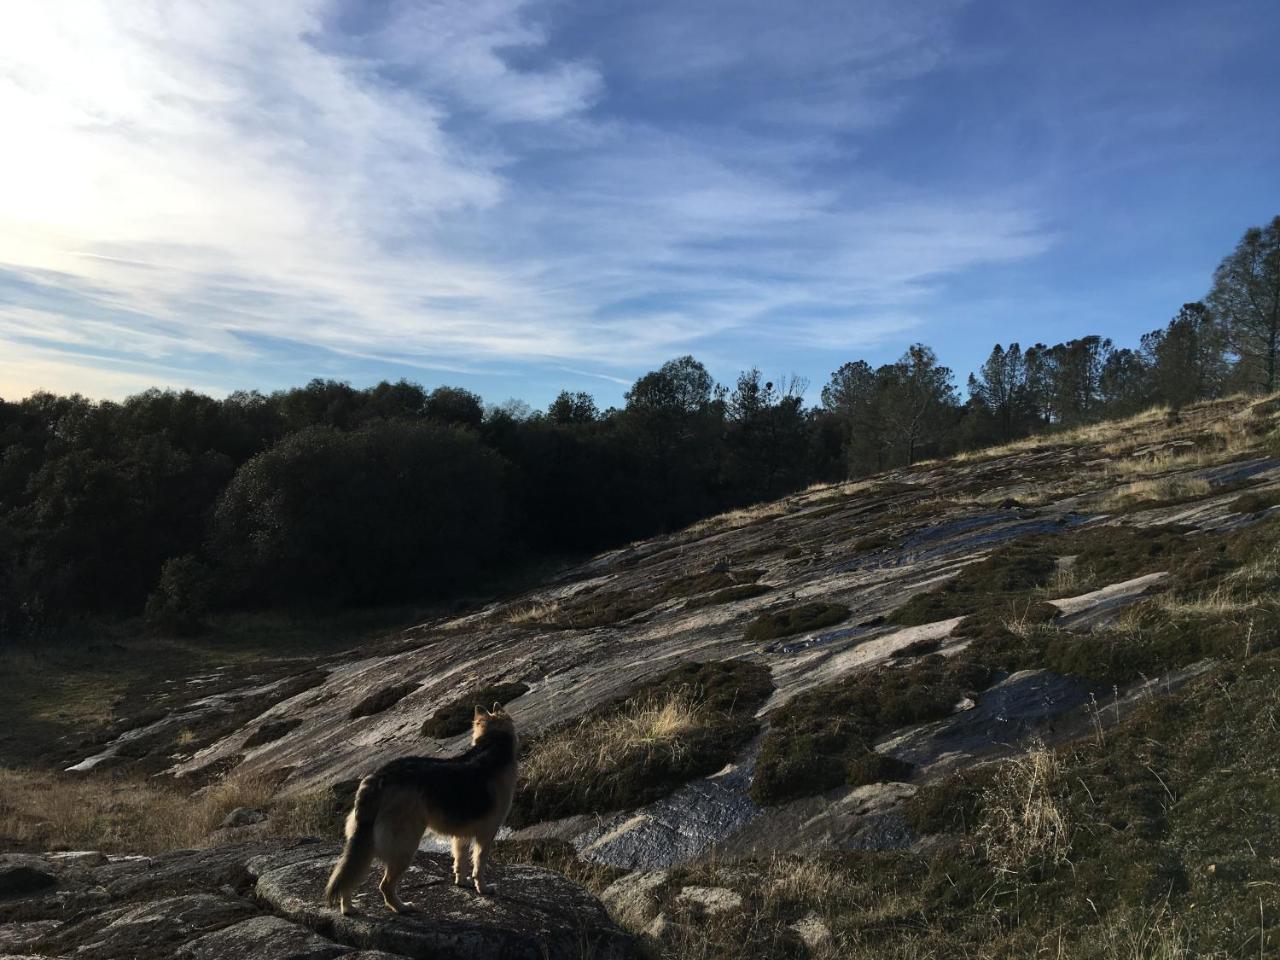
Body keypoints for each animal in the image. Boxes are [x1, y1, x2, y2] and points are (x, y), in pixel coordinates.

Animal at [325, 706, 519, 916]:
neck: (493, 744)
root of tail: (379, 778)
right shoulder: (486, 834)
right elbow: (479, 865)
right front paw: (483, 888)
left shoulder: (461, 835)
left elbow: (460, 861)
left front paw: (462, 882)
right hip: (405, 844)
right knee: (385, 885)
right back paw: (401, 907)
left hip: (365, 840)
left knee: (349, 877)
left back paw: (348, 908)